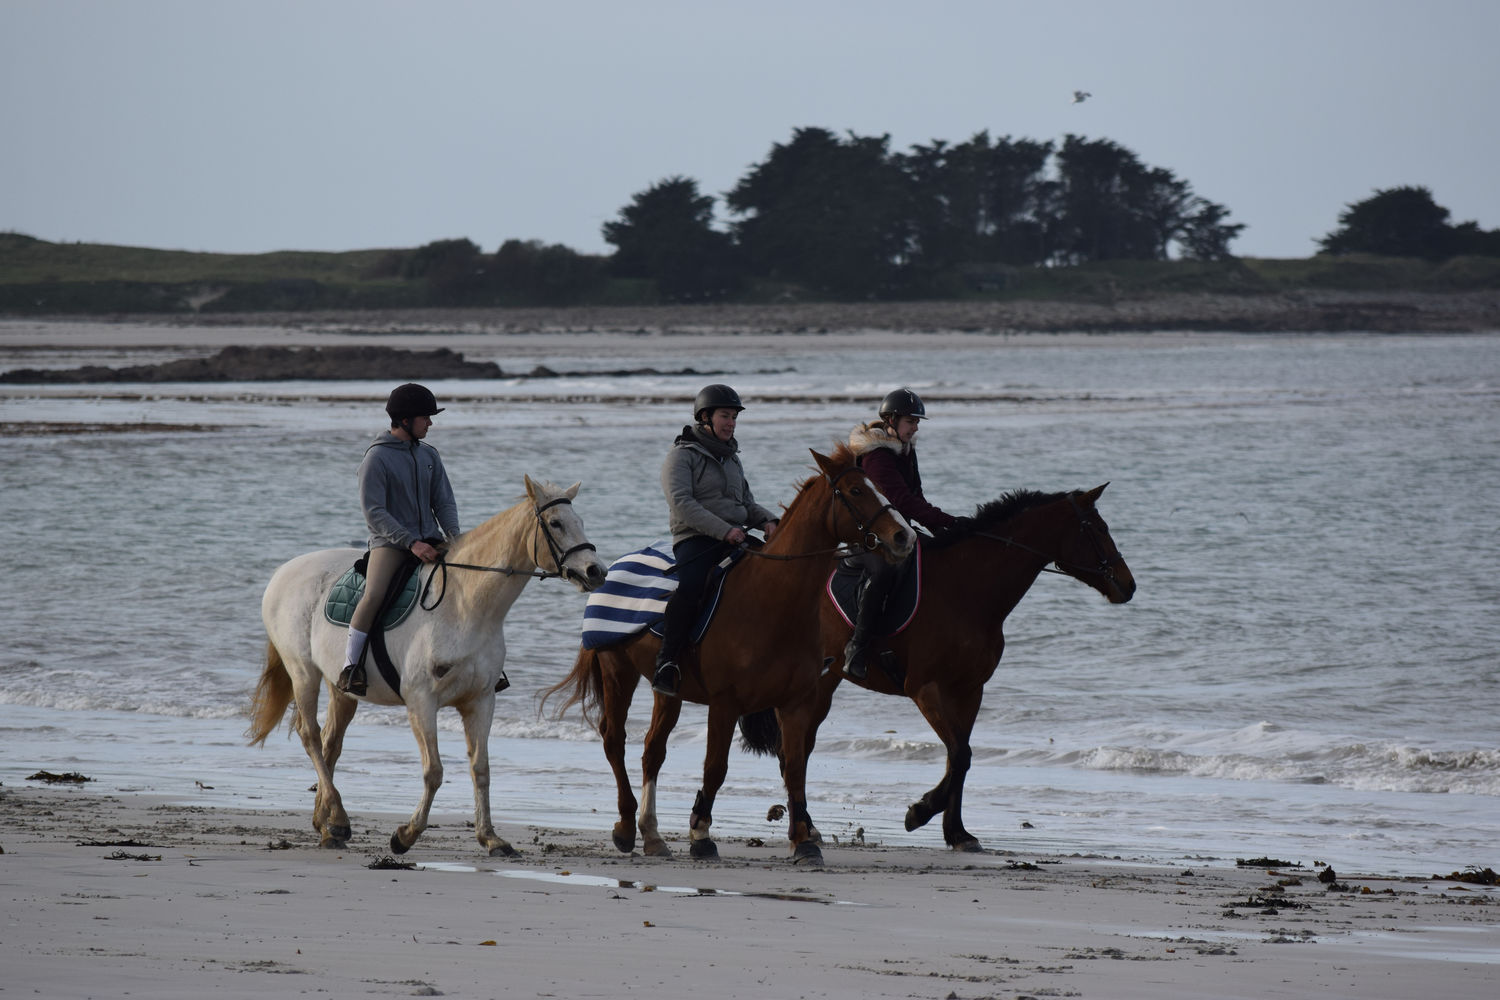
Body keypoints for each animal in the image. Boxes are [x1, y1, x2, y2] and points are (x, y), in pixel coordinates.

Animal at [246, 476, 603, 851]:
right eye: (556, 523)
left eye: (579, 521)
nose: (596, 571)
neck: (466, 607)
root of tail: (284, 571)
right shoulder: (421, 701)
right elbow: (434, 771)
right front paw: (406, 834)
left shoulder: (480, 701)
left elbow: (481, 769)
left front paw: (490, 838)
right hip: (302, 672)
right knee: (310, 735)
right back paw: (339, 820)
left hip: (340, 686)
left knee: (331, 741)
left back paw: (327, 824)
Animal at [543, 452, 912, 869]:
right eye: (855, 490)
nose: (904, 537)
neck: (772, 600)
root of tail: (610, 568)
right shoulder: (725, 704)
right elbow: (716, 767)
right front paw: (701, 834)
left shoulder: (796, 703)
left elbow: (795, 768)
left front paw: (804, 842)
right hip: (617, 670)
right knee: (614, 740)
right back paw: (624, 827)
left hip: (666, 691)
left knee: (653, 750)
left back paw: (652, 835)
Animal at [750, 482, 1134, 851]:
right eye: (1099, 528)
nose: (1129, 586)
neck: (967, 589)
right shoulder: (925, 688)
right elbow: (960, 755)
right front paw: (920, 812)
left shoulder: (968, 690)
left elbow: (958, 758)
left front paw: (958, 833)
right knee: (793, 752)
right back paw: (806, 828)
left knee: (797, 750)